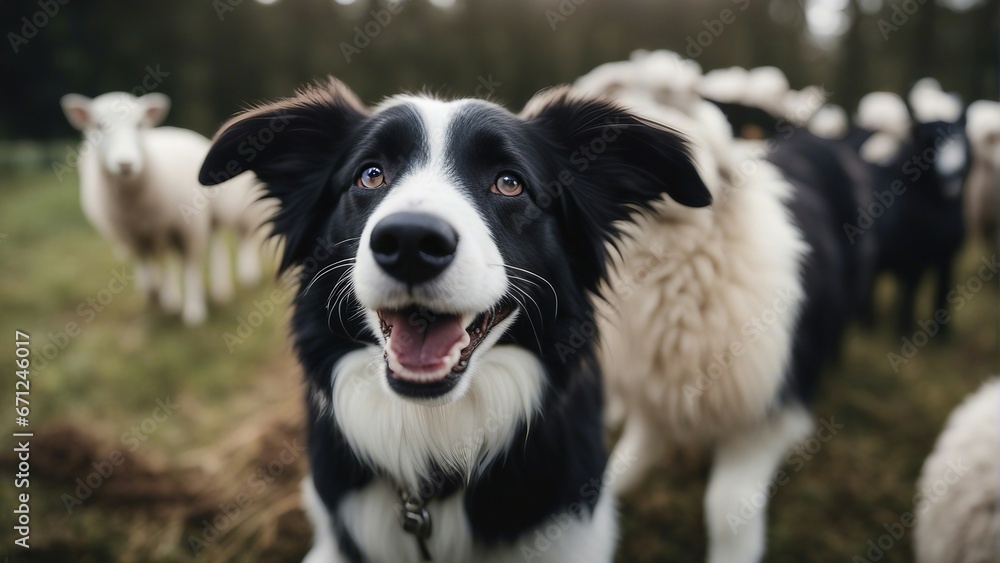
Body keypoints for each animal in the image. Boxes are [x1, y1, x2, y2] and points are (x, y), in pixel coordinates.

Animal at [60, 92, 268, 326]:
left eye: (139, 124)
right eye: (99, 126)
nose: (125, 164)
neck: (133, 206)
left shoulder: (189, 229)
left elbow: (191, 269)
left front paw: (193, 312)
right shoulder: (133, 237)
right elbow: (149, 270)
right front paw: (157, 296)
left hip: (219, 211)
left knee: (228, 241)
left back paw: (228, 284)